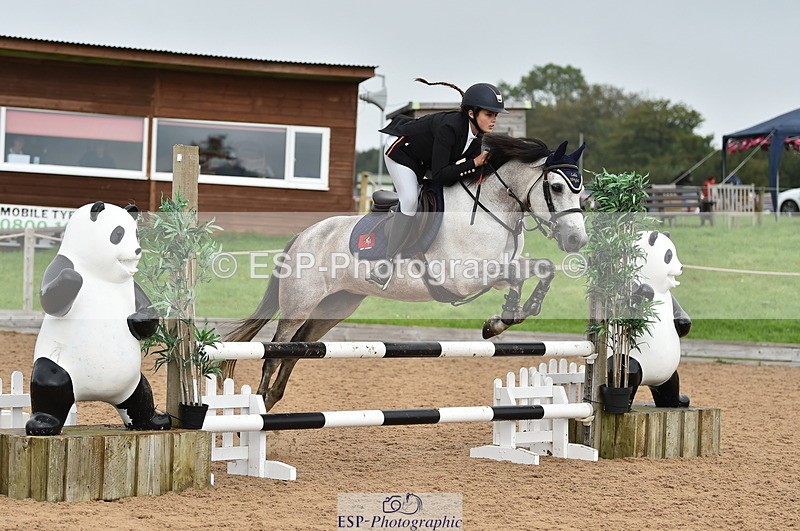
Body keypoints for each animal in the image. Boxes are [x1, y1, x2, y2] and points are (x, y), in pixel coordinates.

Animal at [222, 134, 588, 411]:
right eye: (557, 187)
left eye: (580, 191)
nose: (577, 240)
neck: (493, 209)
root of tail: (304, 235)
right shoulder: (465, 277)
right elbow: (518, 275)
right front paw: (501, 320)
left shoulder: (502, 266)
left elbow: (542, 269)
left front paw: (509, 316)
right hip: (299, 303)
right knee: (275, 352)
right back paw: (258, 411)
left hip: (337, 306)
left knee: (298, 348)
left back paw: (271, 401)